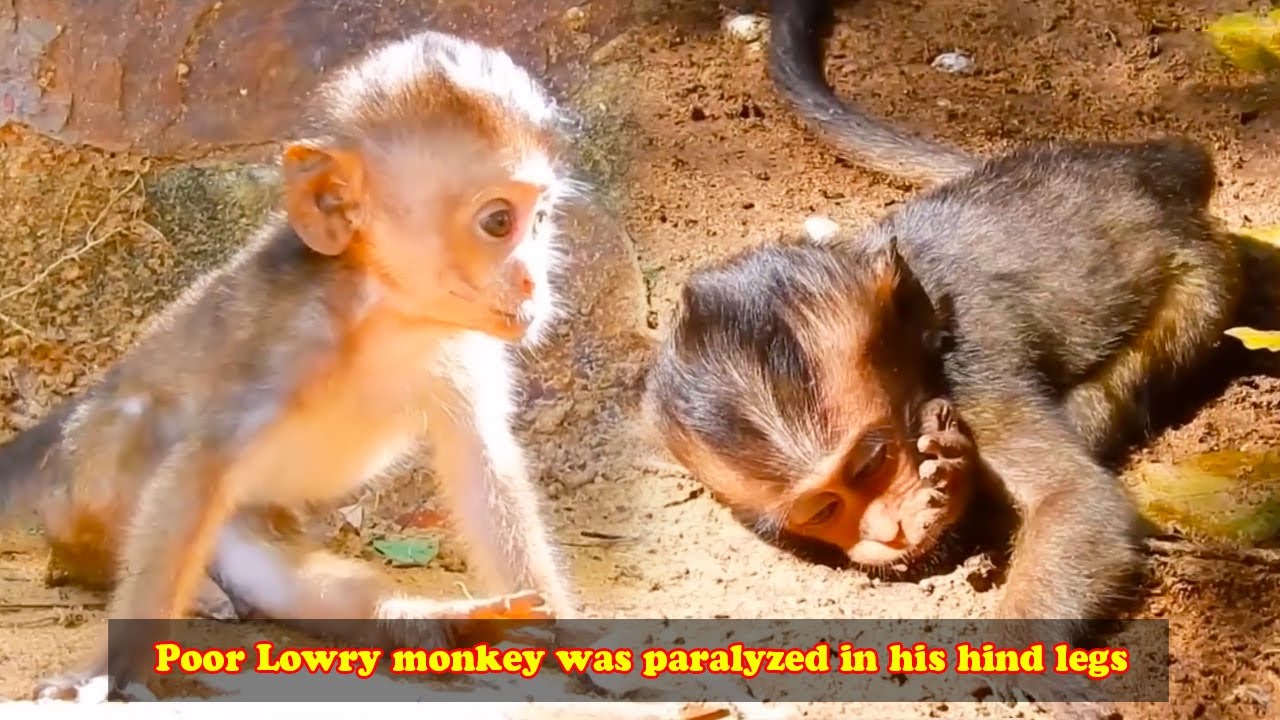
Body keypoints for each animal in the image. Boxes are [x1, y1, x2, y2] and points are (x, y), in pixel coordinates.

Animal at [0, 29, 583, 702]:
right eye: (498, 221)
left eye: (540, 219)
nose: (532, 279)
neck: (388, 314)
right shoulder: (282, 343)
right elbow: (202, 464)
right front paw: (110, 668)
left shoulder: (465, 352)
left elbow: (482, 463)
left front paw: (574, 642)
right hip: (87, 479)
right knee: (131, 435)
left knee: (277, 576)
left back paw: (434, 623)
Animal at [643, 137, 1242, 704]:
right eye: (822, 511)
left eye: (871, 465)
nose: (888, 531)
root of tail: (1152, 166)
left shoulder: (976, 370)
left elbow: (1074, 498)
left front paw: (1020, 657)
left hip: (1203, 284)